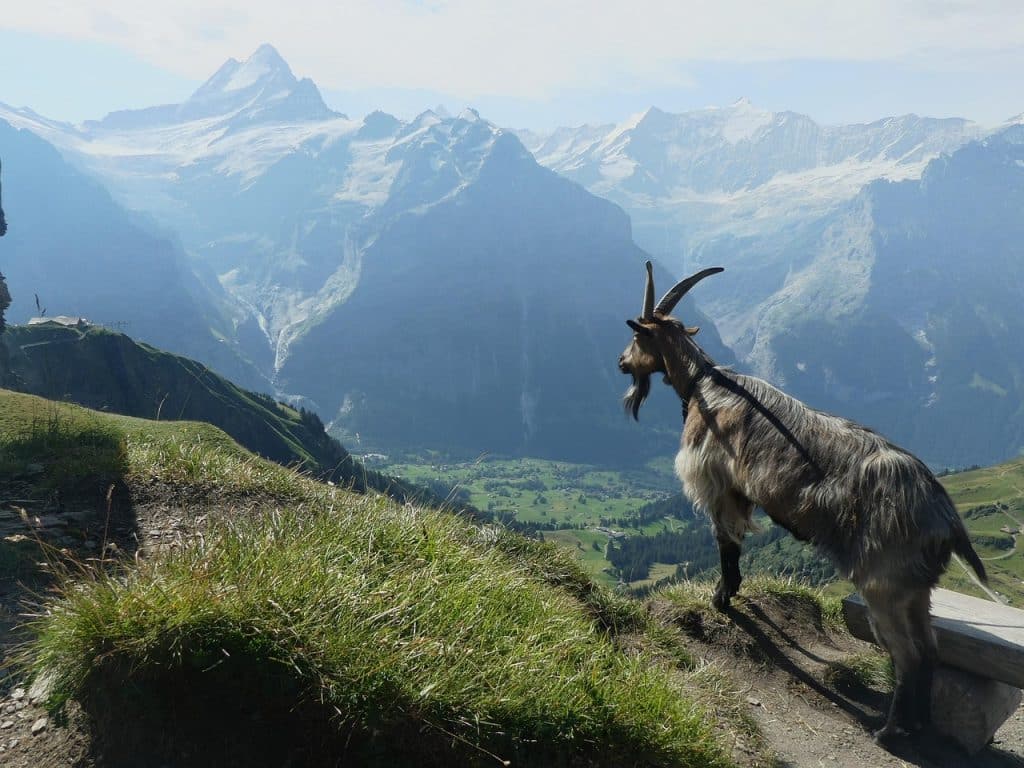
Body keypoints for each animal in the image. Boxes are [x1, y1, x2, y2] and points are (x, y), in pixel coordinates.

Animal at [618, 261, 987, 744]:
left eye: (637, 338)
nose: (621, 362)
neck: (704, 385)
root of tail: (944, 516)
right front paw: (731, 593)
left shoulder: (717, 484)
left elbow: (726, 541)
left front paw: (722, 597)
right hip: (916, 588)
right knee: (930, 650)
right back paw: (918, 723)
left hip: (885, 583)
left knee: (909, 654)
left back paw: (889, 731)